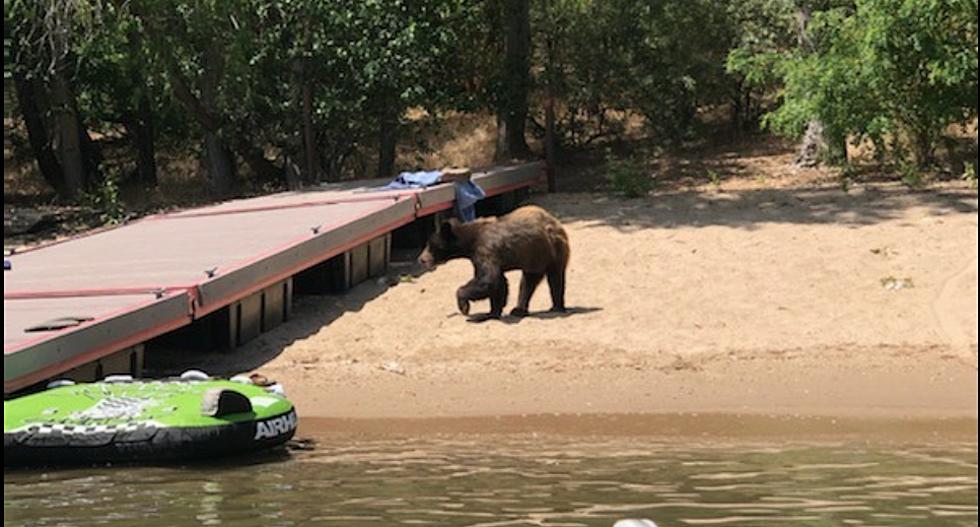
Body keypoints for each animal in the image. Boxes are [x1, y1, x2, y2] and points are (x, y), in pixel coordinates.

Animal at [418, 206, 572, 322]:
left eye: (430, 245)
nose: (421, 259)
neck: (470, 241)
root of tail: (556, 223)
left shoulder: (485, 249)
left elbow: (489, 279)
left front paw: (465, 307)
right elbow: (499, 282)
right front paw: (493, 311)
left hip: (554, 251)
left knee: (555, 278)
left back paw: (556, 307)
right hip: (536, 258)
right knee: (528, 283)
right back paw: (519, 309)